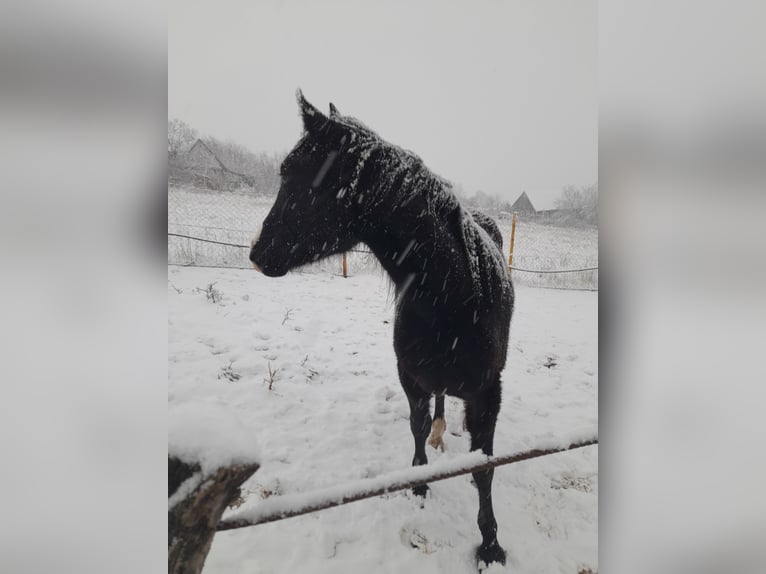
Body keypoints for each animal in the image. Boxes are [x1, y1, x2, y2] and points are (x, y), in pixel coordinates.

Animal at [252, 90, 516, 568]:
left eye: (296, 175)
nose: (257, 253)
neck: (453, 297)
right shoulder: (410, 377)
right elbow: (417, 426)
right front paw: (418, 482)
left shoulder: (488, 394)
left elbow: (484, 466)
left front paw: (490, 544)